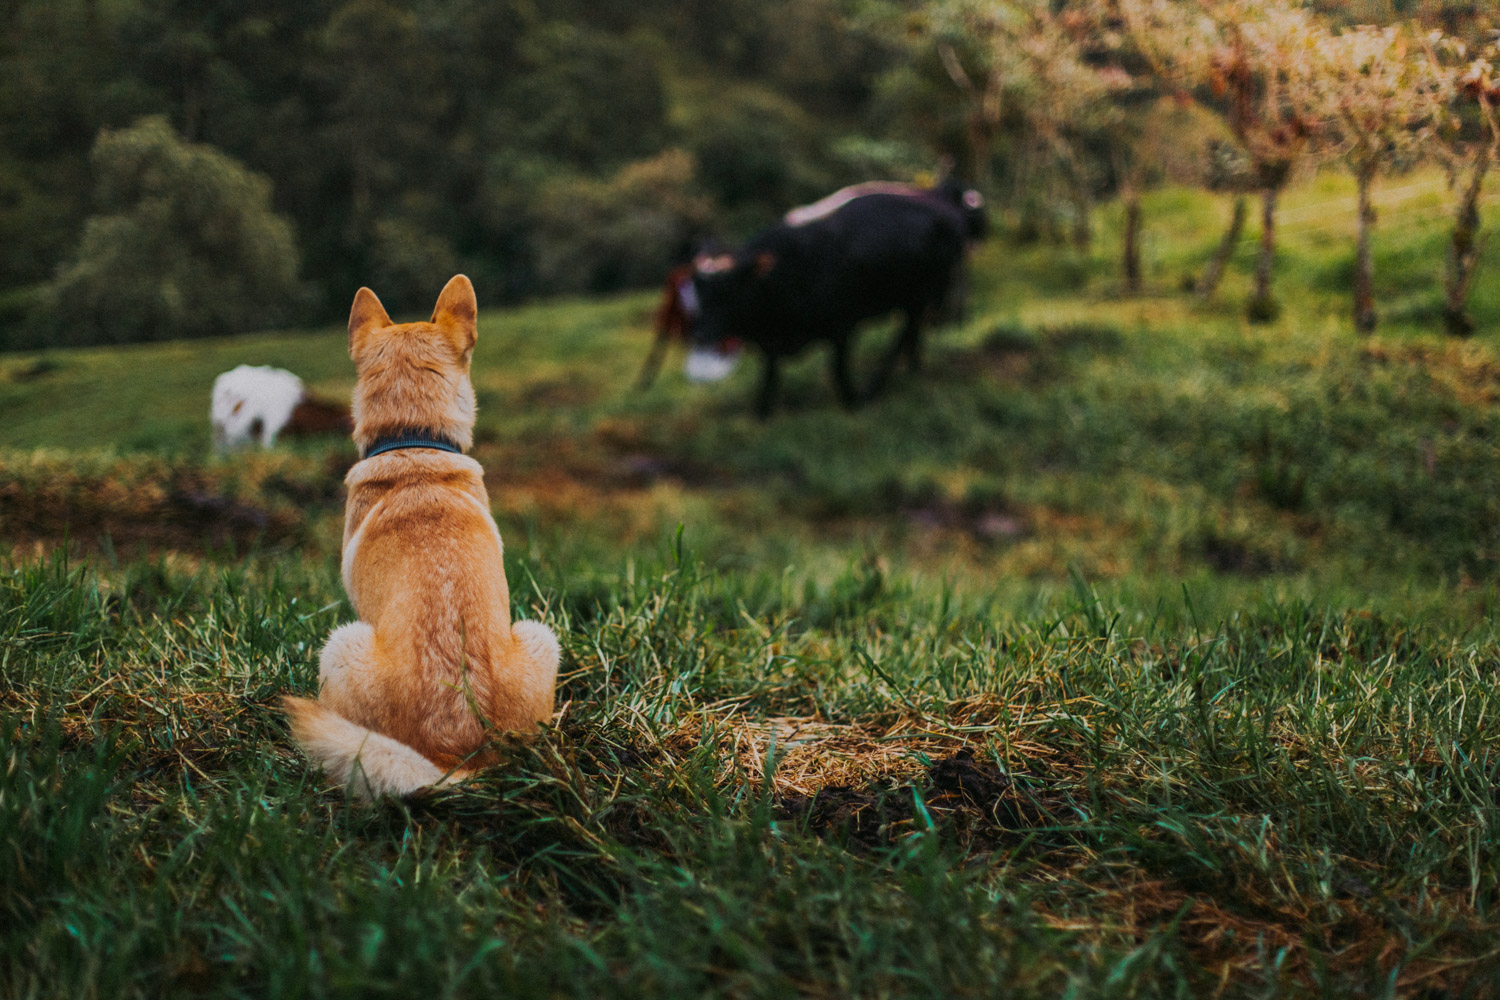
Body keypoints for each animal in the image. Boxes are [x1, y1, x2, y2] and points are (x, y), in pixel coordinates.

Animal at [693, 190, 966, 419]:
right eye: (699, 293)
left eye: (729, 290)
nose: (701, 334)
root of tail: (946, 213)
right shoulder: (773, 342)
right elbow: (770, 373)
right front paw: (763, 412)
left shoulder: (841, 326)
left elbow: (838, 370)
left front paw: (852, 400)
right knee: (914, 331)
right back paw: (912, 369)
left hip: (925, 291)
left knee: (905, 334)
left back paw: (875, 386)